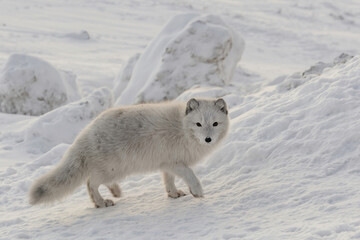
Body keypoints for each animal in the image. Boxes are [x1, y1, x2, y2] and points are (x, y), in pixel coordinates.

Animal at [29, 97, 229, 208]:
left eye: (215, 124)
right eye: (198, 124)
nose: (208, 139)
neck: (182, 128)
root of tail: (85, 134)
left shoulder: (166, 163)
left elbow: (168, 180)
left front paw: (173, 194)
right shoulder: (175, 162)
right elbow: (190, 175)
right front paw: (197, 191)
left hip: (113, 170)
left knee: (99, 182)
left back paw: (115, 192)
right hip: (112, 169)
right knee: (90, 183)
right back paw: (101, 203)